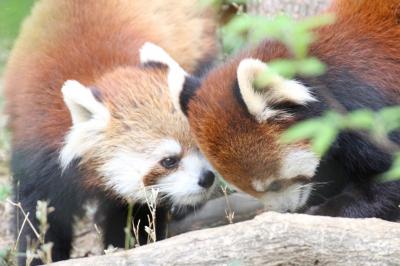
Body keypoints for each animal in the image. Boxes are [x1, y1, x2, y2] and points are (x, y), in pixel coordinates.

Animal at [3, 0, 217, 264]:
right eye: (169, 161)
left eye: (200, 143)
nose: (207, 178)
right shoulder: (37, 150)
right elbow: (38, 218)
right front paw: (40, 256)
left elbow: (133, 218)